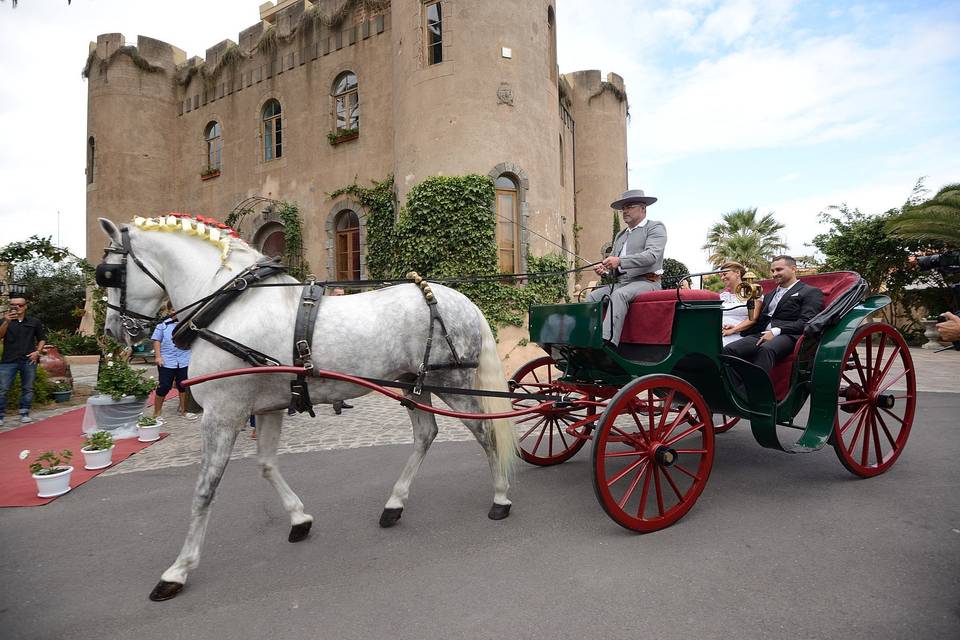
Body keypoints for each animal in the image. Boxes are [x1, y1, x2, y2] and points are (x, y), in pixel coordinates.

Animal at [97, 219, 516, 600]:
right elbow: (266, 465)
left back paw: (500, 498)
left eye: (111, 273)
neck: (228, 308)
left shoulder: (222, 413)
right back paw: (394, 504)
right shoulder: (267, 408)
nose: (113, 330)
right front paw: (299, 519)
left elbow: (205, 489)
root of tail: (461, 300)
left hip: (452, 382)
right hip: (414, 382)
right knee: (426, 433)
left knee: (485, 433)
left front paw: (179, 570)